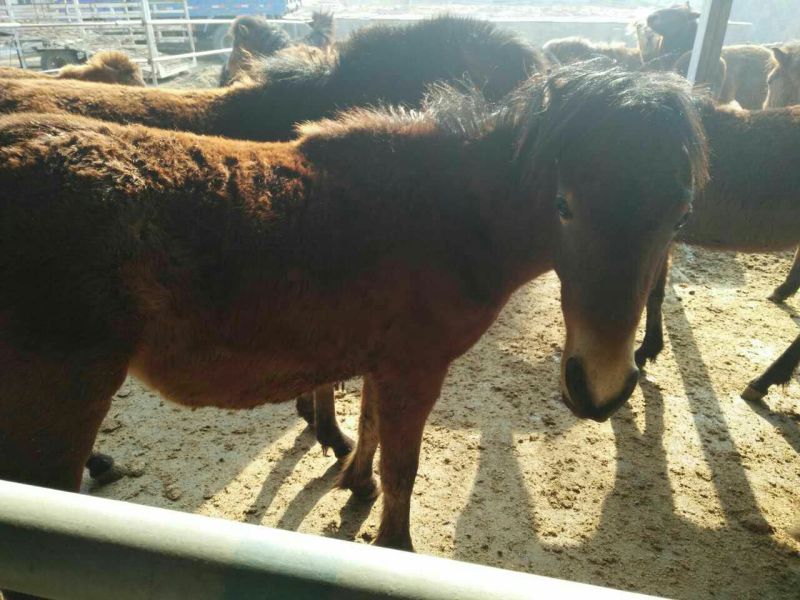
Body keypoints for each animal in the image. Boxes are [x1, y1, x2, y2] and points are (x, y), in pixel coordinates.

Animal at [0, 67, 707, 580]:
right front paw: (395, 547)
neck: (444, 218)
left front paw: (354, 482)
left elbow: (367, 430)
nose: (601, 388)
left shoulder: (379, 358)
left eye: (679, 218)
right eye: (563, 205)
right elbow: (403, 467)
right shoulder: (415, 368)